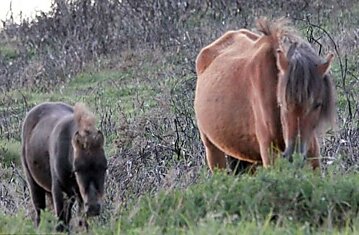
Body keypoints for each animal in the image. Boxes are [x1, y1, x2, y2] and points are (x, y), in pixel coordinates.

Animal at [21, 102, 107, 230]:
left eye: (105, 167)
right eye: (77, 169)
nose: (93, 208)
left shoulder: (78, 194)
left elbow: (82, 221)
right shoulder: (58, 189)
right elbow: (60, 222)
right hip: (34, 184)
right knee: (39, 213)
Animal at [195, 17, 336, 173]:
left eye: (318, 104)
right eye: (281, 103)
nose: (294, 155)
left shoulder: (312, 153)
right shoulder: (269, 153)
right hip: (213, 150)